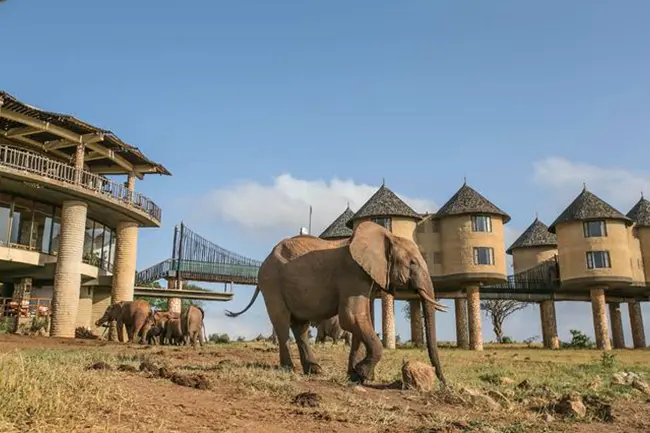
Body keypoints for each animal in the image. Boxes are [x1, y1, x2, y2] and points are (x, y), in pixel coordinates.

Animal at [227, 221, 446, 384]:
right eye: (412, 263)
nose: (444, 384)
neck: (386, 236)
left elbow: (360, 321)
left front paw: (355, 375)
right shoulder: (353, 275)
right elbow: (351, 317)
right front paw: (363, 374)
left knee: (300, 326)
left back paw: (314, 370)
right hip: (271, 283)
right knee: (282, 322)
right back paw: (289, 369)